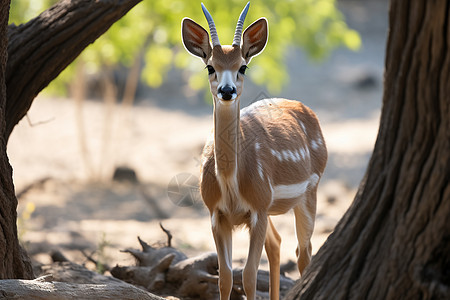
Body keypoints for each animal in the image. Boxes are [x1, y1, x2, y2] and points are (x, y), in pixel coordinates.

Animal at [183, 1, 326, 298]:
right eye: (210, 67)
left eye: (243, 67)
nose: (227, 90)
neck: (230, 183)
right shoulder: (216, 213)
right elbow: (225, 276)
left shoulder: (258, 207)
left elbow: (248, 275)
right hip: (273, 205)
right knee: (278, 243)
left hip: (310, 189)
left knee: (304, 251)